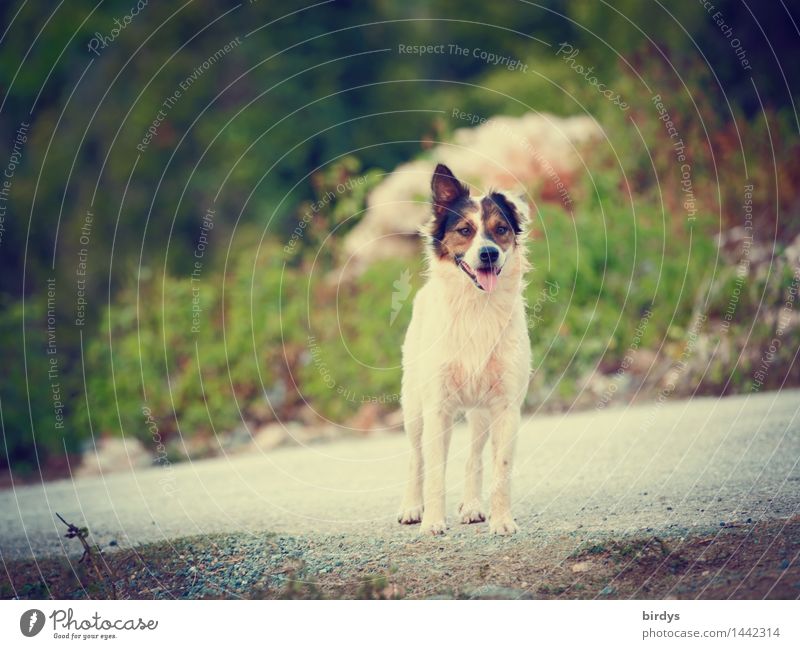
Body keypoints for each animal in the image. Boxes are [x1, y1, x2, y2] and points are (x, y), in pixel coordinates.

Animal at [396, 165, 532, 536]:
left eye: (500, 230)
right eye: (465, 231)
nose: (489, 253)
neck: (476, 307)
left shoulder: (505, 407)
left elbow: (501, 470)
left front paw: (502, 521)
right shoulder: (437, 407)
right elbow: (435, 473)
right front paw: (432, 522)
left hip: (481, 414)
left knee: (473, 458)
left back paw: (471, 506)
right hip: (414, 406)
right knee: (415, 456)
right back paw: (411, 507)